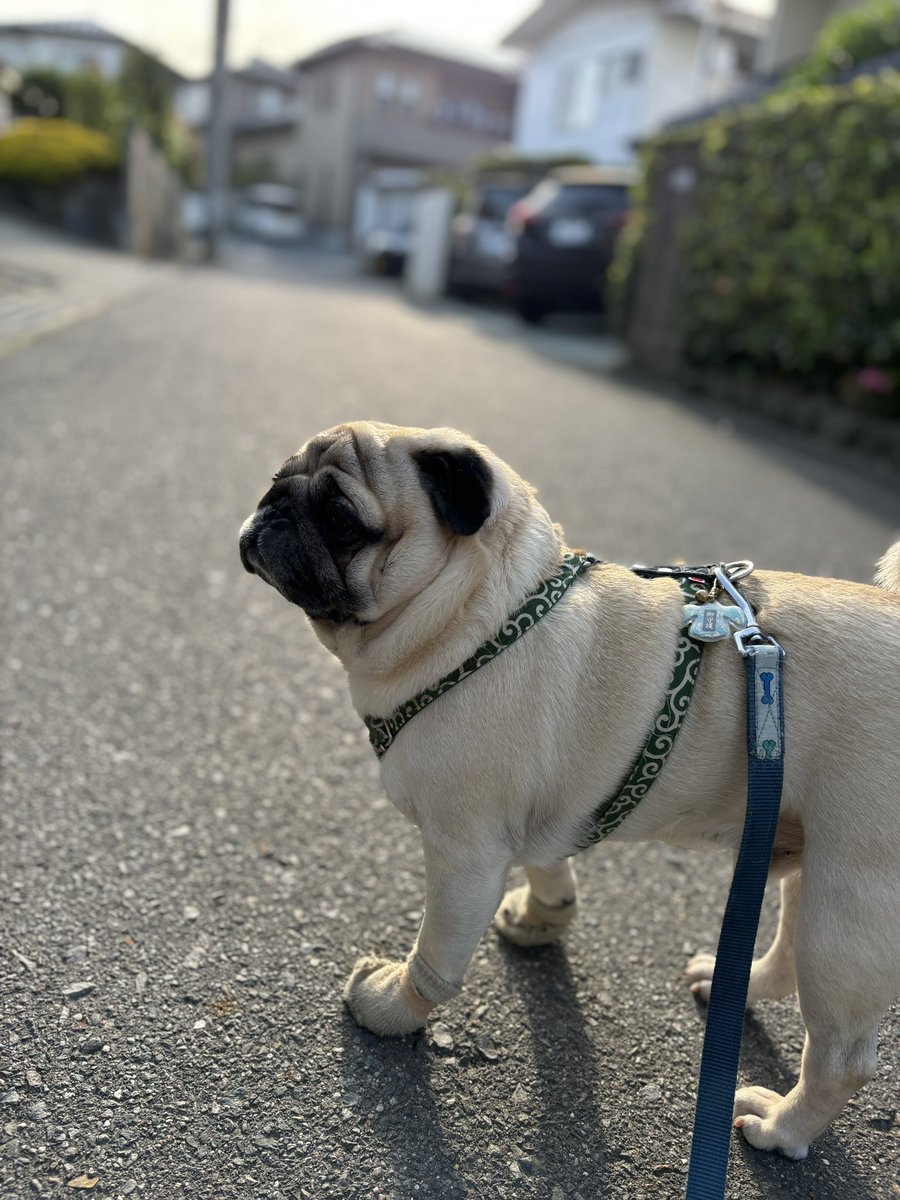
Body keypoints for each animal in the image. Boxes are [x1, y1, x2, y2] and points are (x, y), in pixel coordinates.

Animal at [241, 424, 900, 1161]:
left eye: (341, 520)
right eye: (276, 480)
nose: (273, 509)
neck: (480, 612)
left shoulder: (464, 853)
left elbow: (434, 957)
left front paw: (388, 1008)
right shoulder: (536, 814)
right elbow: (547, 862)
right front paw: (543, 915)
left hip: (850, 912)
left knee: (843, 1057)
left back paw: (781, 1127)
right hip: (808, 864)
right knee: (785, 952)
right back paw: (735, 986)